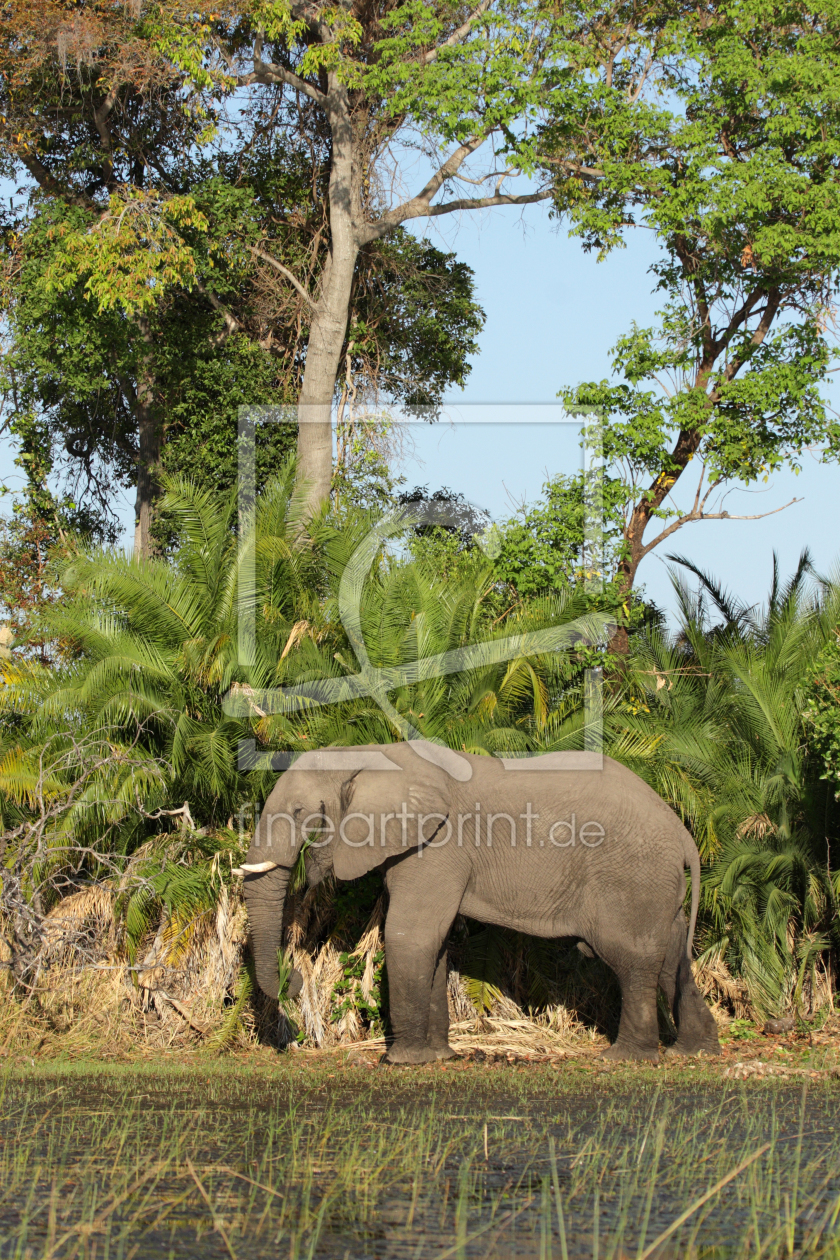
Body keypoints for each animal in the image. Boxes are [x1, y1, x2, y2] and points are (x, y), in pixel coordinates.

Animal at [238, 735, 725, 1063]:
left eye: (301, 812)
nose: (295, 979)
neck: (372, 753)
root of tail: (681, 831)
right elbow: (434, 944)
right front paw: (440, 1058)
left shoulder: (437, 846)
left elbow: (410, 934)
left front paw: (402, 1062)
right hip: (657, 886)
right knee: (671, 958)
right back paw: (695, 1053)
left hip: (631, 877)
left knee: (633, 959)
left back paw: (626, 1058)